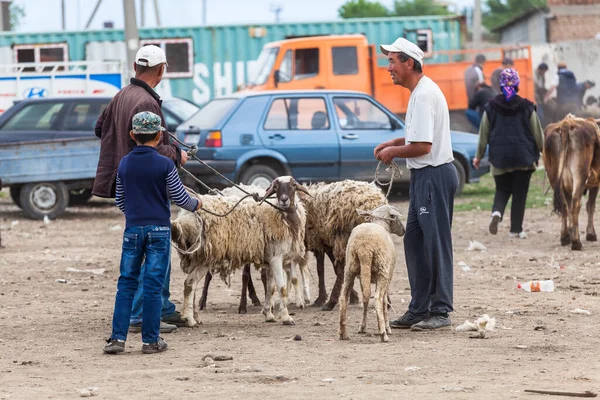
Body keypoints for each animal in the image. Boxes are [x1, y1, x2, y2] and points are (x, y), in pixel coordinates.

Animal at [170, 177, 308, 326]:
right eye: (275, 187)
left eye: (293, 185)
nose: (284, 200)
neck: (281, 215)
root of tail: (184, 218)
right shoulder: (276, 257)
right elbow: (281, 288)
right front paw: (286, 317)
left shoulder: (271, 259)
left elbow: (270, 288)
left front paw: (269, 314)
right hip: (205, 257)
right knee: (190, 283)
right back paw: (189, 319)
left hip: (196, 256)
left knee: (191, 285)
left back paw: (194, 317)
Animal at [340, 205, 406, 342]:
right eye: (395, 217)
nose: (404, 230)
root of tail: (364, 248)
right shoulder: (388, 277)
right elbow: (385, 302)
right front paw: (387, 327)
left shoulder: (362, 278)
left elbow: (365, 301)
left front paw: (362, 327)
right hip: (382, 270)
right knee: (377, 298)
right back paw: (383, 334)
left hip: (350, 269)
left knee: (344, 297)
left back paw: (343, 333)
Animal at [544, 114, 600, 248]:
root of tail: (566, 124)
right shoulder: (594, 184)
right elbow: (591, 205)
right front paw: (591, 234)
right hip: (579, 176)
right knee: (576, 204)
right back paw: (576, 242)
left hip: (554, 178)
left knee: (565, 206)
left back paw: (565, 237)